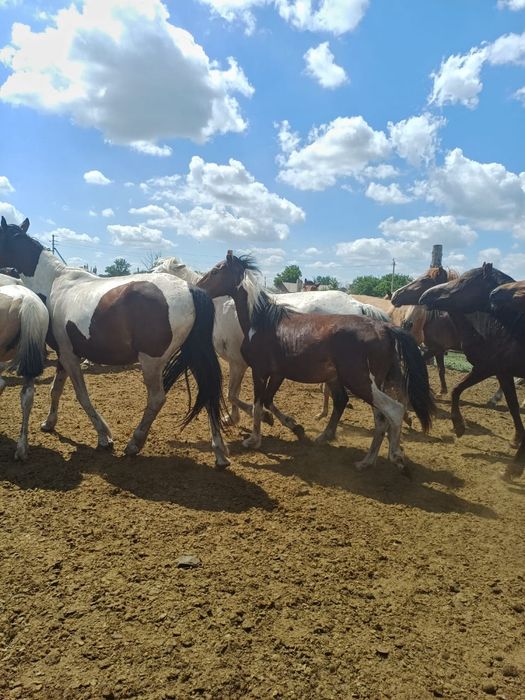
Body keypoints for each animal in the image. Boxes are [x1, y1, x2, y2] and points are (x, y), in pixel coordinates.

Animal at [153, 257, 390, 424]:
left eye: (161, 274)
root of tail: (357, 304)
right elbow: (235, 394)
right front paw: (236, 417)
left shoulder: (239, 363)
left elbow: (232, 394)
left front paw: (252, 416)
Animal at [196, 251, 435, 475]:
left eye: (216, 270)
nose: (198, 288)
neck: (262, 321)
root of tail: (385, 328)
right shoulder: (278, 373)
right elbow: (266, 401)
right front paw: (291, 426)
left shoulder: (259, 371)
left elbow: (256, 404)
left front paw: (254, 440)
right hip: (372, 381)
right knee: (379, 417)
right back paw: (365, 460)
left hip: (361, 382)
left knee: (392, 411)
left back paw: (395, 457)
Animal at [419, 263, 525, 477]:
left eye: (462, 281)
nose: (425, 296)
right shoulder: (502, 371)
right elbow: (512, 406)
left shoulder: (487, 367)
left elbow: (455, 389)